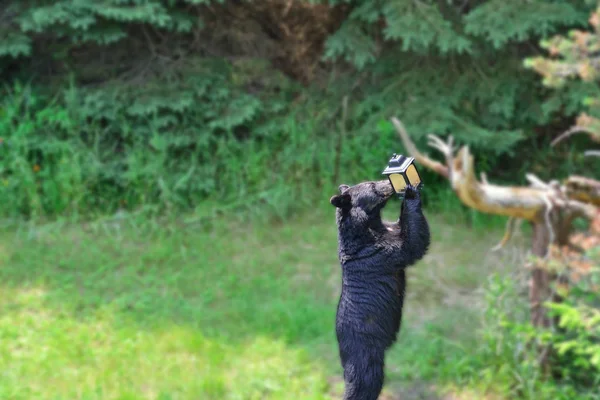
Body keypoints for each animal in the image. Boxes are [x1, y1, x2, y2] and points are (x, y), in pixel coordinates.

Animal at [328, 181, 432, 400]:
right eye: (372, 185)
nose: (388, 183)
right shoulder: (380, 251)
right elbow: (411, 244)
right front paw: (411, 193)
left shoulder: (388, 230)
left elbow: (403, 229)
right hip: (364, 349)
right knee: (364, 380)